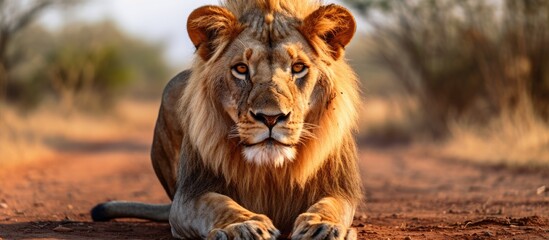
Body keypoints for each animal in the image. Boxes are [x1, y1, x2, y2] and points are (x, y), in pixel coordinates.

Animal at [91, 0, 362, 238]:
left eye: (298, 68)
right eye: (241, 69)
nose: (271, 118)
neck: (270, 171)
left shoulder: (340, 188)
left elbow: (330, 205)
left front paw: (323, 227)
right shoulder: (189, 195)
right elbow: (217, 203)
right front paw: (243, 226)